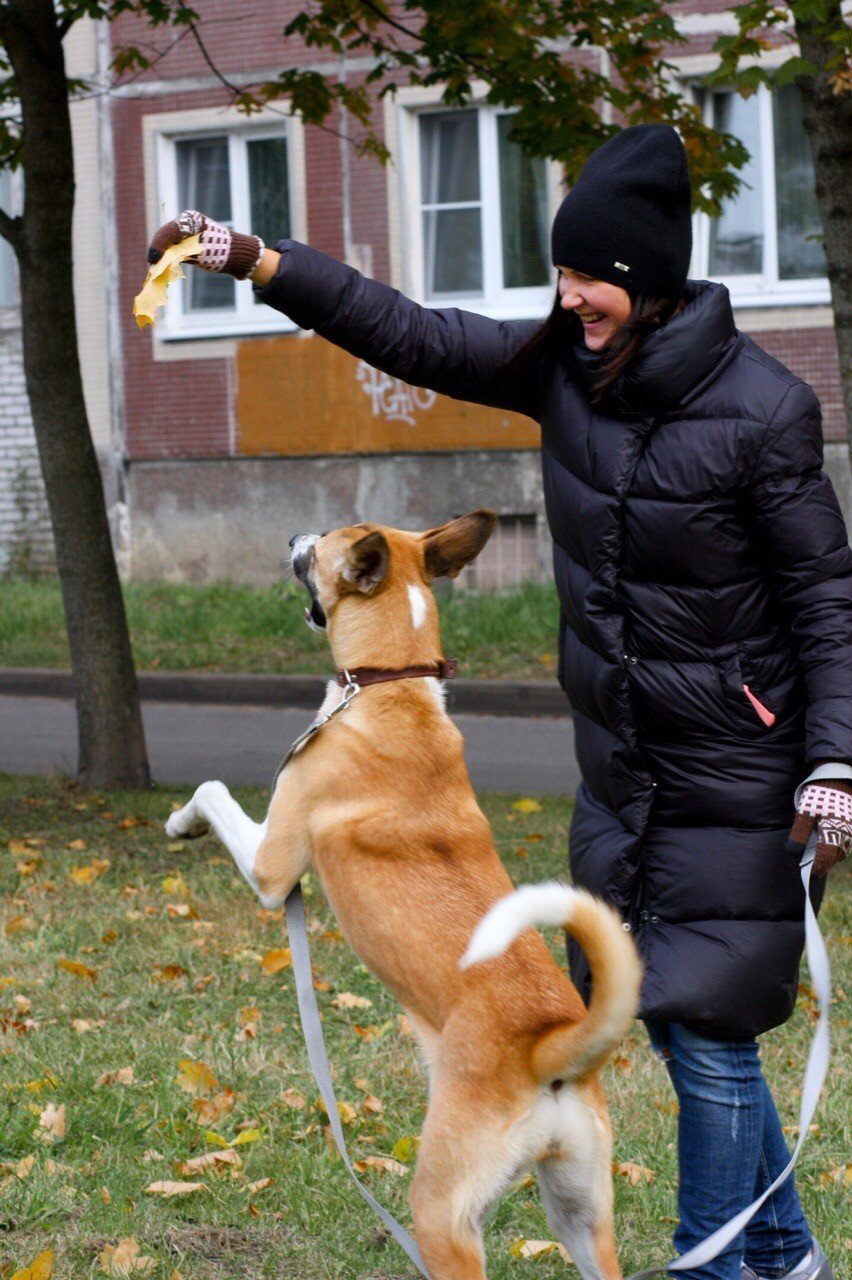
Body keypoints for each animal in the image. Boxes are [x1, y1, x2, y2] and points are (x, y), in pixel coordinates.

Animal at [167, 512, 637, 1280]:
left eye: (323, 539)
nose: (294, 535)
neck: (394, 687)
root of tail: (552, 1049)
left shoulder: (271, 867)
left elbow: (211, 791)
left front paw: (182, 822)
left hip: (443, 1216)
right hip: (582, 1214)